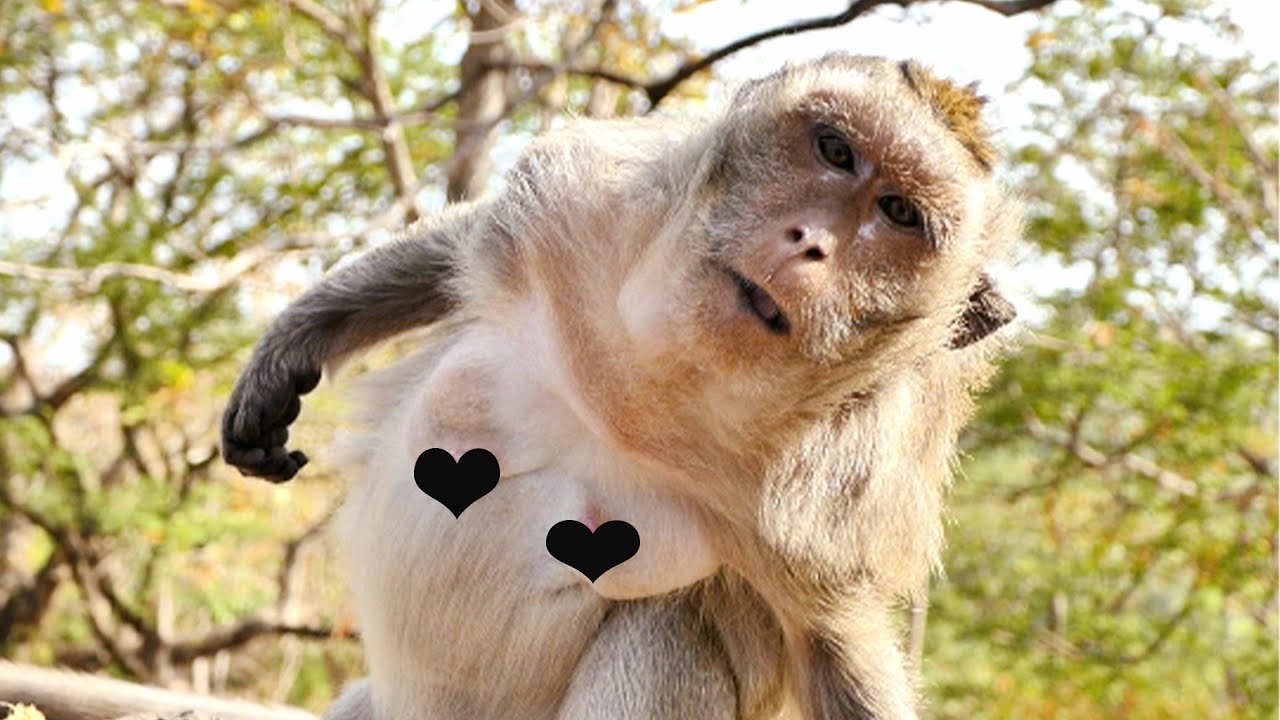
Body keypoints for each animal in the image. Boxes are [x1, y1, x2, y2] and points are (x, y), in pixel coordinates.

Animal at [218, 53, 1020, 720]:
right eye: (835, 151)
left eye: (898, 213)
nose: (810, 243)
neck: (661, 376)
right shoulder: (583, 211)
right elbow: (469, 243)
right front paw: (292, 347)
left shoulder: (824, 508)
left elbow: (833, 653)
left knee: (667, 630)